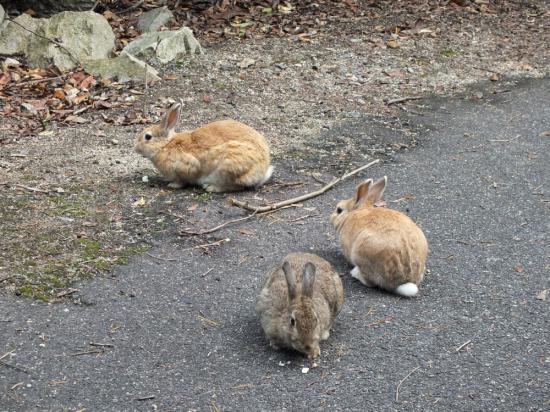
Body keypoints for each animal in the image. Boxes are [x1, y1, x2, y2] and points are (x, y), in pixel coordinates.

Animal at [136, 103, 274, 193]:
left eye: (147, 137)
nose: (135, 147)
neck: (165, 145)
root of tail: (262, 172)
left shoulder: (186, 167)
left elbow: (183, 179)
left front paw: (173, 185)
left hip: (228, 167)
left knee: (236, 186)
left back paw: (211, 188)